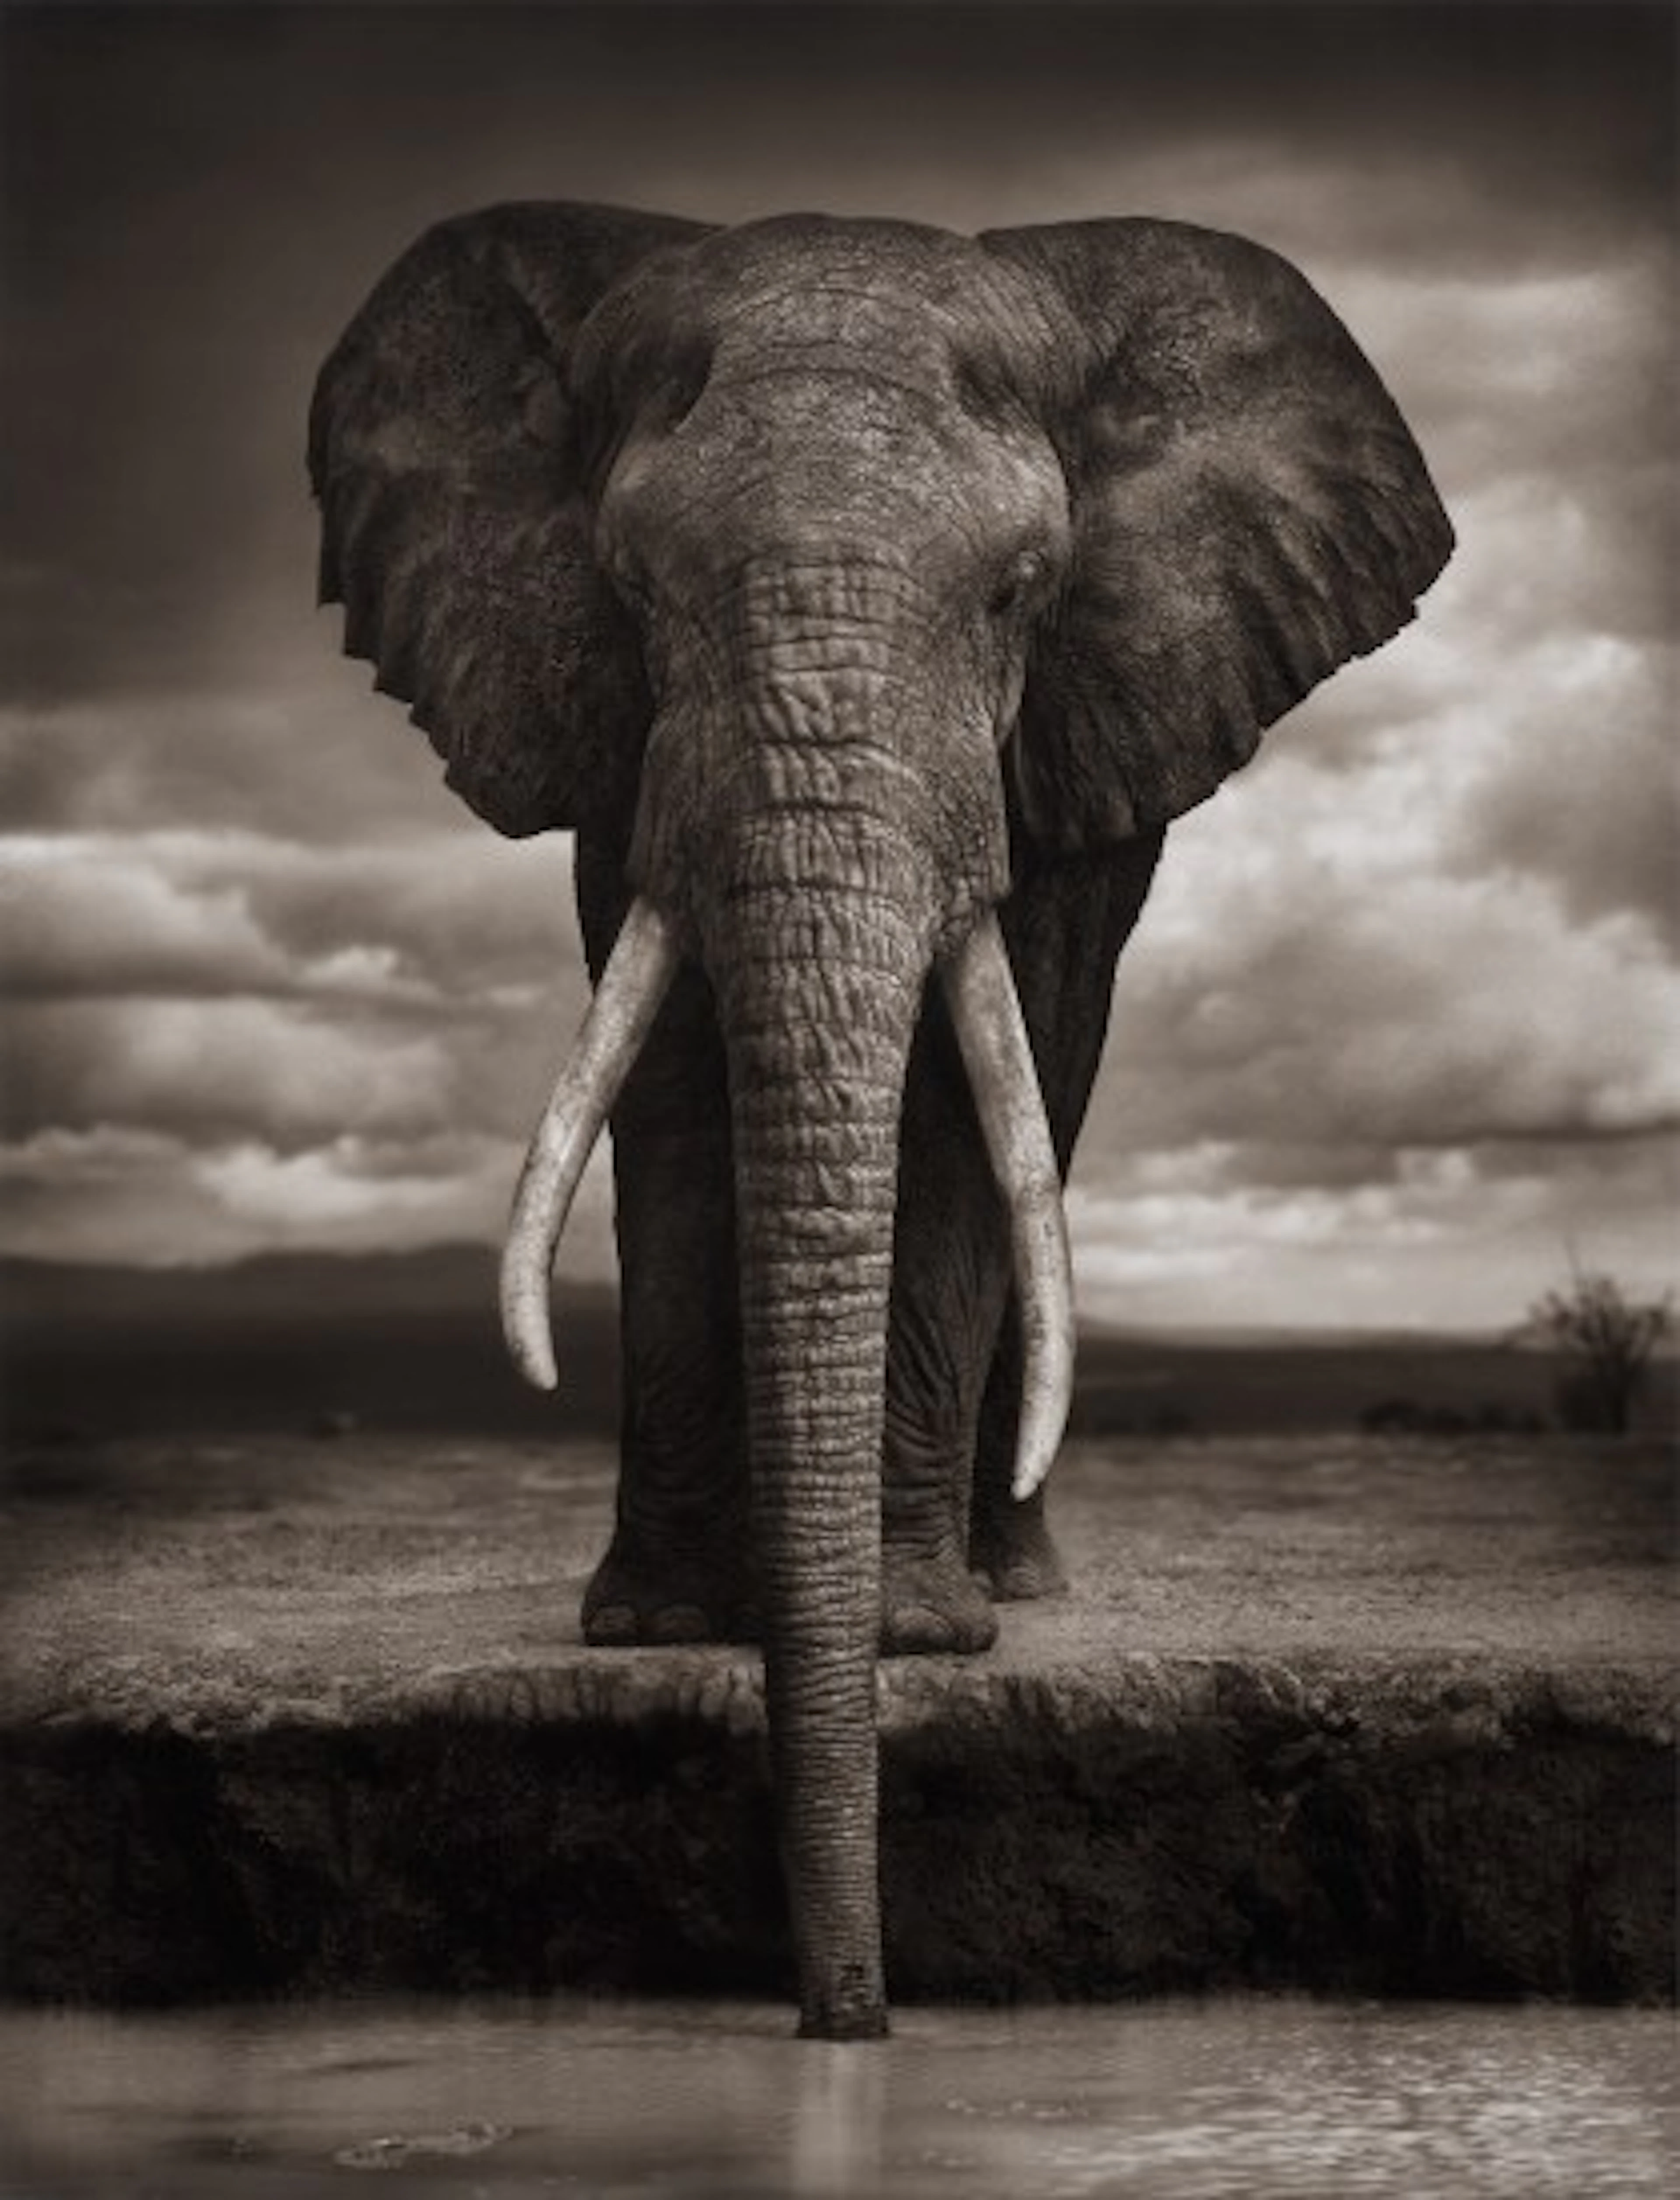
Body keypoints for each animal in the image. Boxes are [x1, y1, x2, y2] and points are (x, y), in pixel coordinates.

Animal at [309, 200, 1451, 2037]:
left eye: (1020, 590)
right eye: (633, 586)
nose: (849, 2015)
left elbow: (984, 1098)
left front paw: (915, 1638)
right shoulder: (619, 743)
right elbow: (673, 1088)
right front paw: (662, 1626)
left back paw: (1015, 1582)